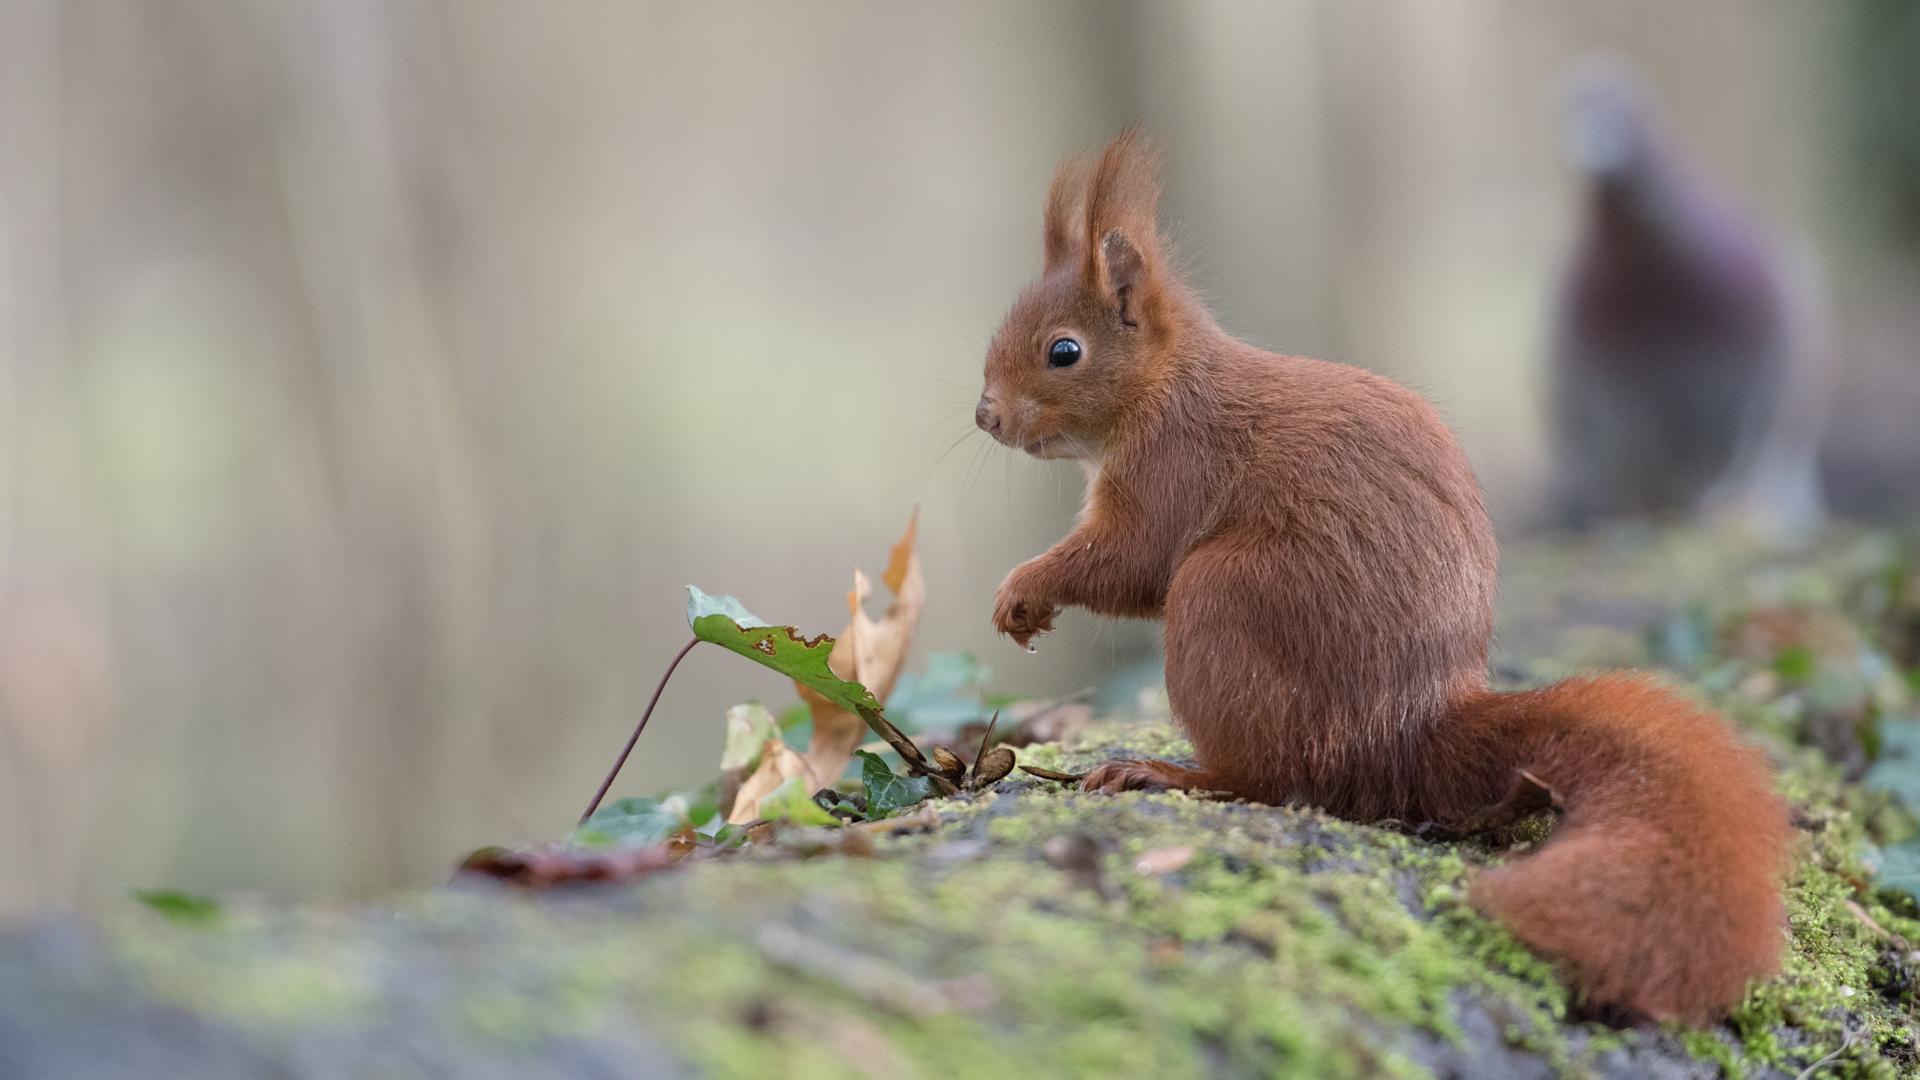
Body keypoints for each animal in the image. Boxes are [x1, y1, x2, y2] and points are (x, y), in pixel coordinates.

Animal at [983, 130, 1789, 1022]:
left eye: (1064, 351)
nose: (986, 416)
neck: (1162, 386)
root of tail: (1408, 733)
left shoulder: (1172, 468)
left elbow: (1131, 563)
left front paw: (1025, 588)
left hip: (1225, 603)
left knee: (1276, 779)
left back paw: (1166, 772)